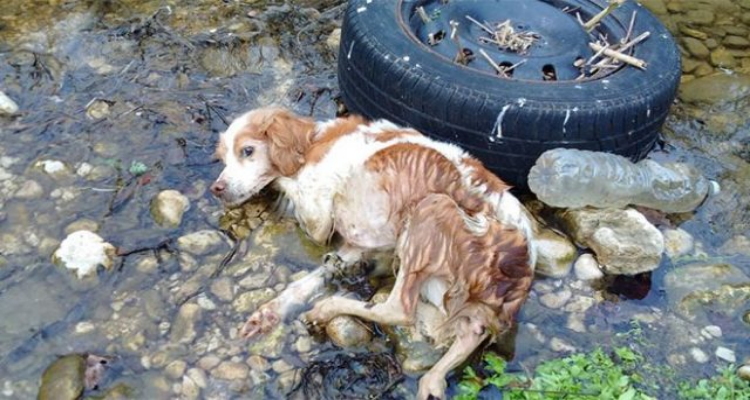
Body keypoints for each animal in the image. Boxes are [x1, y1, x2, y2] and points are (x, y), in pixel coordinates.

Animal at [212, 106, 536, 400]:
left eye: (247, 151)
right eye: (223, 158)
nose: (217, 188)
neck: (314, 143)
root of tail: (521, 267)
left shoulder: (321, 214)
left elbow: (303, 205)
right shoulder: (356, 245)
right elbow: (307, 282)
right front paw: (268, 313)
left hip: (430, 209)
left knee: (398, 309)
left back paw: (328, 308)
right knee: (471, 332)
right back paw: (432, 380)